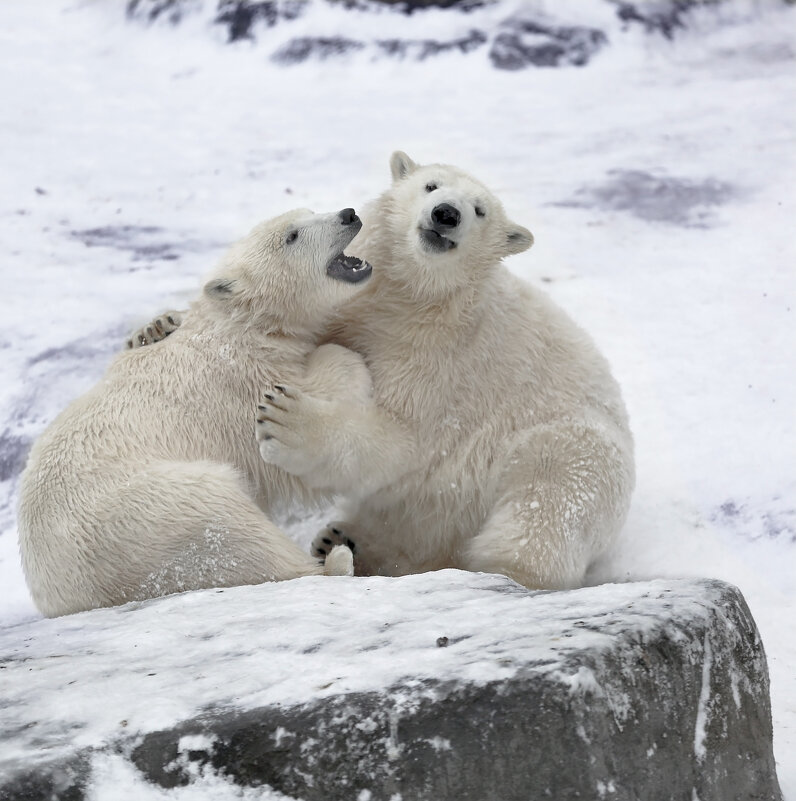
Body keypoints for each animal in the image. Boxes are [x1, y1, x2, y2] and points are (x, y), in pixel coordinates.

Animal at [17, 208, 374, 620]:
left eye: (311, 211)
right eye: (293, 235)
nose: (348, 214)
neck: (238, 325)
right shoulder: (242, 385)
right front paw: (342, 361)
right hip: (156, 512)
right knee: (230, 533)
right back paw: (334, 560)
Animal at [255, 152, 636, 588]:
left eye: (480, 210)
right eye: (431, 186)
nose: (446, 214)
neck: (414, 297)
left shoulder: (444, 355)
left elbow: (398, 439)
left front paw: (286, 420)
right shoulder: (360, 310)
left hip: (570, 450)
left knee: (547, 501)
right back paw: (341, 539)